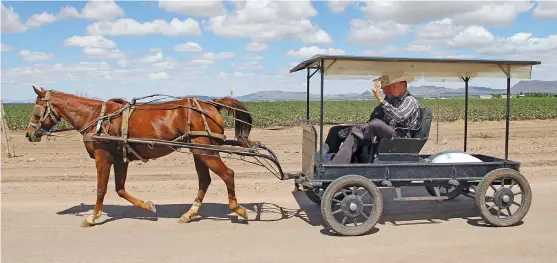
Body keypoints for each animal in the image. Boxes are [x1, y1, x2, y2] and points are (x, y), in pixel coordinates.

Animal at [25, 86, 253, 227]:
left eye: (36, 111)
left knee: (228, 174)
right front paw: (147, 205)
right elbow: (120, 189)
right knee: (205, 180)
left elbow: (101, 189)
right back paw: (190, 213)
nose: (29, 134)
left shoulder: (103, 156)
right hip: (199, 152)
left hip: (205, 151)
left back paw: (238, 209)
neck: (96, 117)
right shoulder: (120, 159)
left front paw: (92, 217)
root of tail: (211, 104)